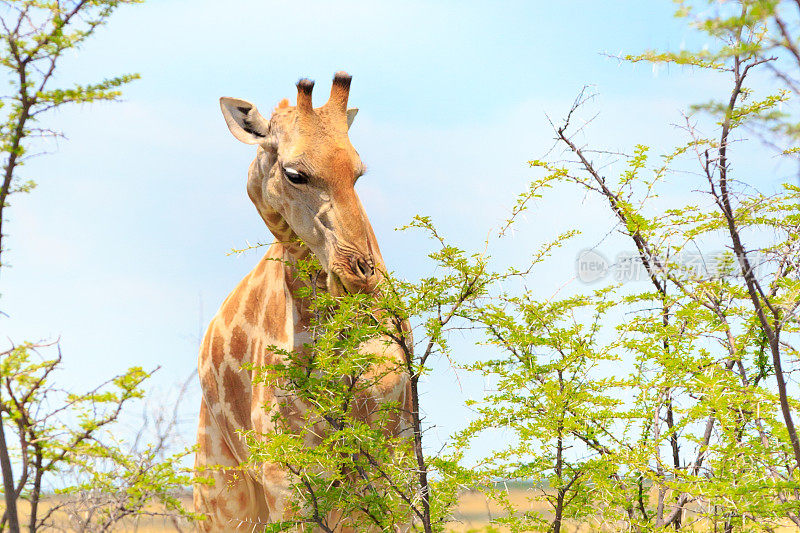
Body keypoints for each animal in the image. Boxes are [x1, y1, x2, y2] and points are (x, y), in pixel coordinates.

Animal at [194, 72, 412, 528]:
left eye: (358, 173)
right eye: (295, 173)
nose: (358, 275)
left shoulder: (390, 457)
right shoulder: (287, 474)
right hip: (220, 483)